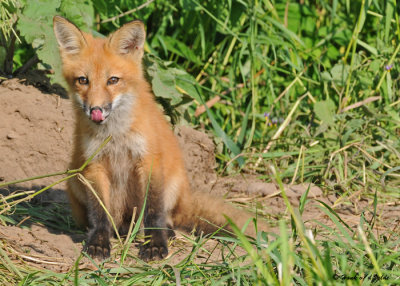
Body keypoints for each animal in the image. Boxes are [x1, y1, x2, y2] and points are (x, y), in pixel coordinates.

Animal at [52, 15, 266, 262]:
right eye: (83, 80)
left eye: (113, 80)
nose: (95, 110)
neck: (115, 136)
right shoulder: (93, 166)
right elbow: (99, 212)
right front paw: (98, 241)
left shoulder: (148, 160)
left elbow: (153, 210)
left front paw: (155, 244)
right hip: (74, 179)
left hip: (172, 183)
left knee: (166, 217)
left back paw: (166, 232)